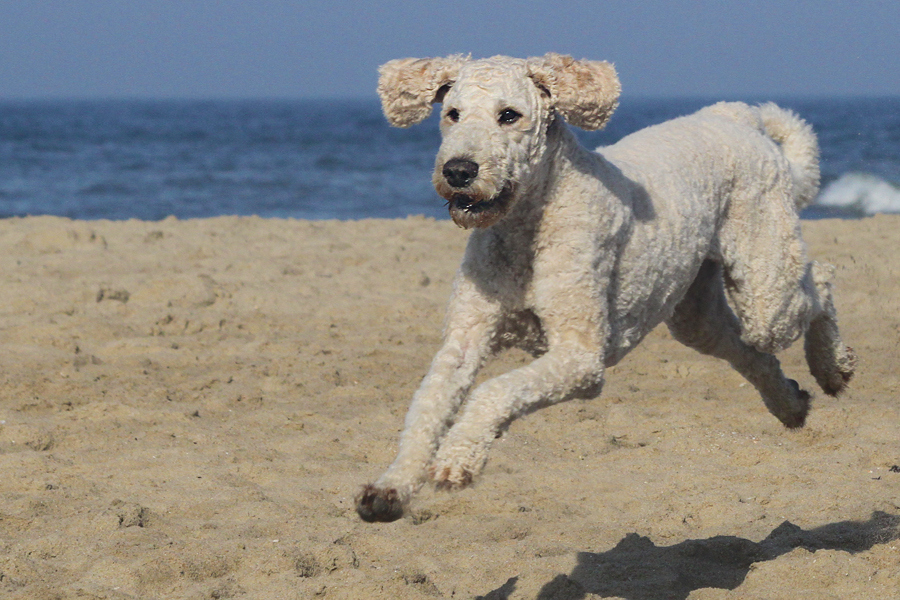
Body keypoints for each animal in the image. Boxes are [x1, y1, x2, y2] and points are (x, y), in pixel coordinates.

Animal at [356, 54, 856, 524]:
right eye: (452, 113)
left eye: (509, 115)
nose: (458, 170)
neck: (528, 226)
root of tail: (734, 116)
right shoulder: (465, 339)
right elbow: (426, 410)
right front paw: (391, 487)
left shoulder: (580, 358)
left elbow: (493, 392)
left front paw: (458, 457)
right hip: (697, 314)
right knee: (749, 350)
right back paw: (790, 403)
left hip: (765, 282)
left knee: (820, 278)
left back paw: (833, 366)